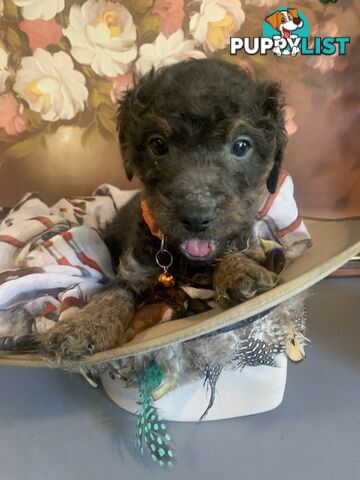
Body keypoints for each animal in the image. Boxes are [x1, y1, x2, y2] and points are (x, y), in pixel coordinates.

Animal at [40, 58, 286, 360]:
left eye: (241, 146)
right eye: (157, 144)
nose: (196, 217)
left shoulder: (246, 241)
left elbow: (238, 253)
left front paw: (239, 271)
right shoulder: (134, 268)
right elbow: (115, 291)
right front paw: (84, 325)